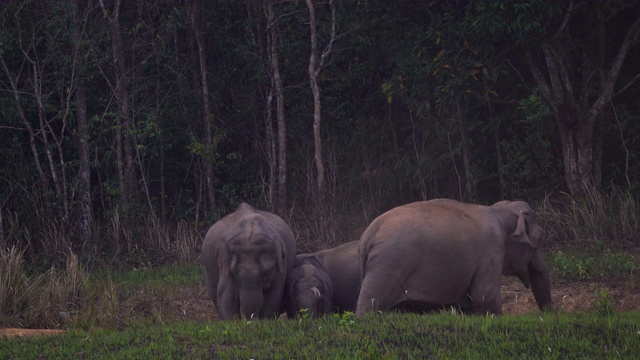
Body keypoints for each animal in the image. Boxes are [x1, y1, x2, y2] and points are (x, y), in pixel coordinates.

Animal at [358, 200, 552, 316]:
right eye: (540, 239)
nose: (547, 314)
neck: (498, 210)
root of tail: (368, 235)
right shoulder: (492, 248)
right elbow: (485, 297)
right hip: (387, 266)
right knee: (368, 306)